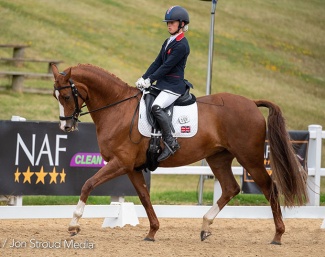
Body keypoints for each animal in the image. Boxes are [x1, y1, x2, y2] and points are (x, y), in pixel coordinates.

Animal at [51, 64, 306, 244]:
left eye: (66, 96)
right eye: (56, 97)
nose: (65, 126)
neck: (118, 108)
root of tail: (251, 103)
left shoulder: (120, 163)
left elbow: (88, 184)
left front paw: (73, 224)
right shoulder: (131, 167)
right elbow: (144, 196)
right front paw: (152, 232)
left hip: (249, 159)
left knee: (269, 188)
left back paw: (278, 236)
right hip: (218, 158)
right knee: (230, 188)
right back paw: (205, 226)